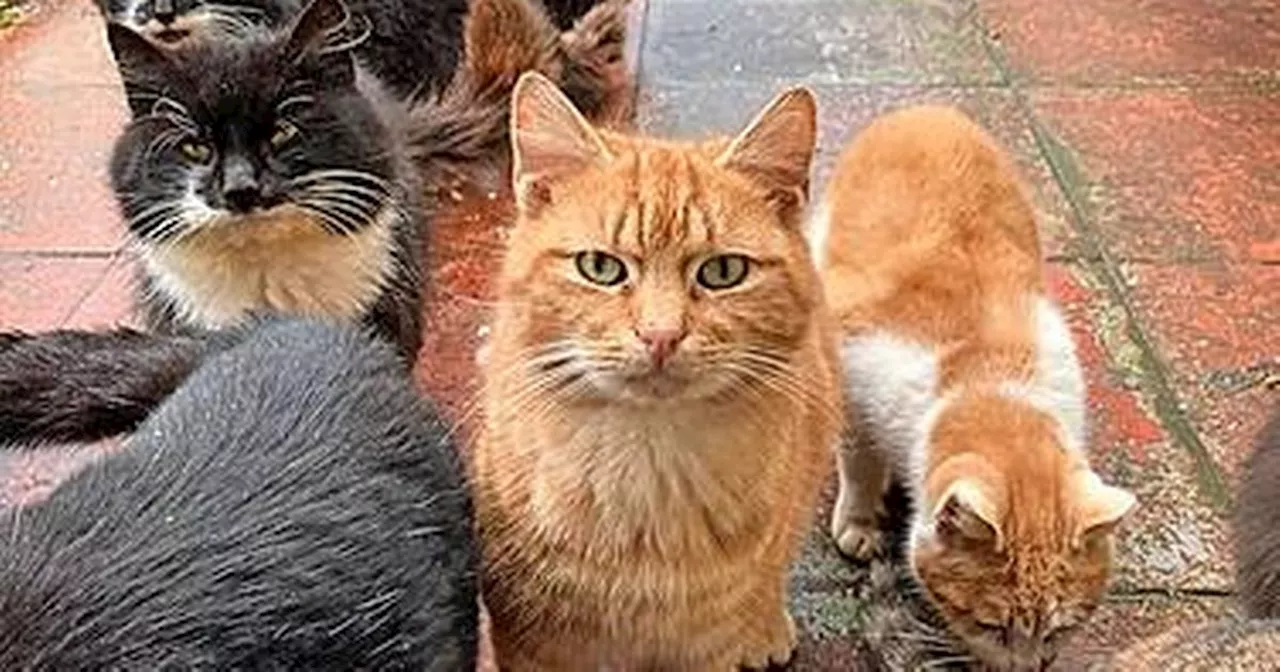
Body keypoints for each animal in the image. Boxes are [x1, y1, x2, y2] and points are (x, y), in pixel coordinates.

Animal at [814, 106, 1136, 670]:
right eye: (990, 625)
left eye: (1060, 629)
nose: (1027, 669)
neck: (983, 377)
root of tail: (930, 111)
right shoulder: (854, 379)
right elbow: (858, 461)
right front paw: (860, 523)